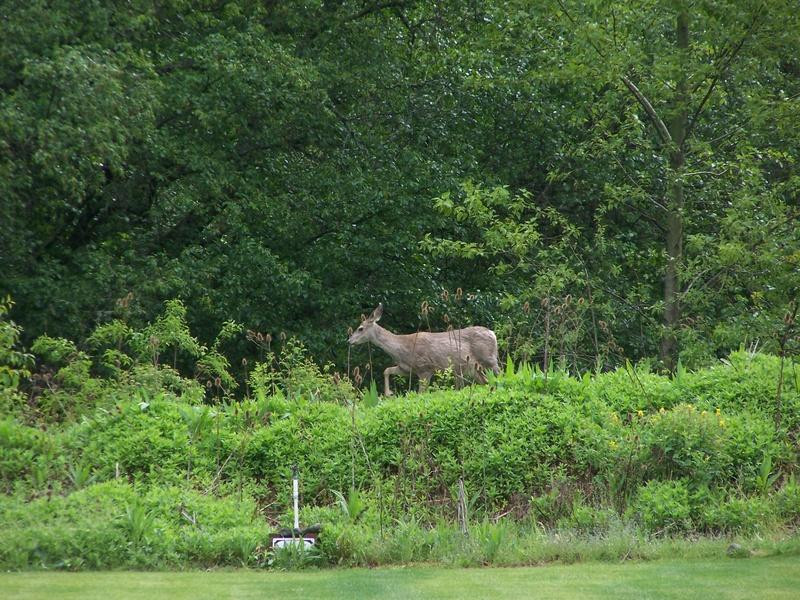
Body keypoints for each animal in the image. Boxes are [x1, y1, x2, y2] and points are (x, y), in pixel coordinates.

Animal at [346, 302, 496, 396]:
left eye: (360, 328)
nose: (349, 341)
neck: (402, 349)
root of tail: (492, 333)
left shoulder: (425, 368)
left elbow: (420, 393)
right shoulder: (407, 369)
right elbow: (386, 370)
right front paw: (389, 393)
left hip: (490, 359)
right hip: (474, 368)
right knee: (485, 381)